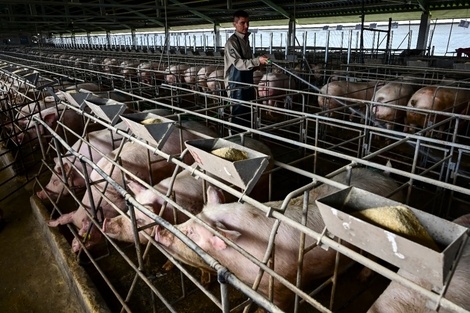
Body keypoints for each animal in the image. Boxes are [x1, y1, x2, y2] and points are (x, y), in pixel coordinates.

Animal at [154, 167, 404, 308]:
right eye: (190, 220)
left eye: (191, 232)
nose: (159, 229)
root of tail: (391, 180)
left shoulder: (284, 284)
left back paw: (362, 277)